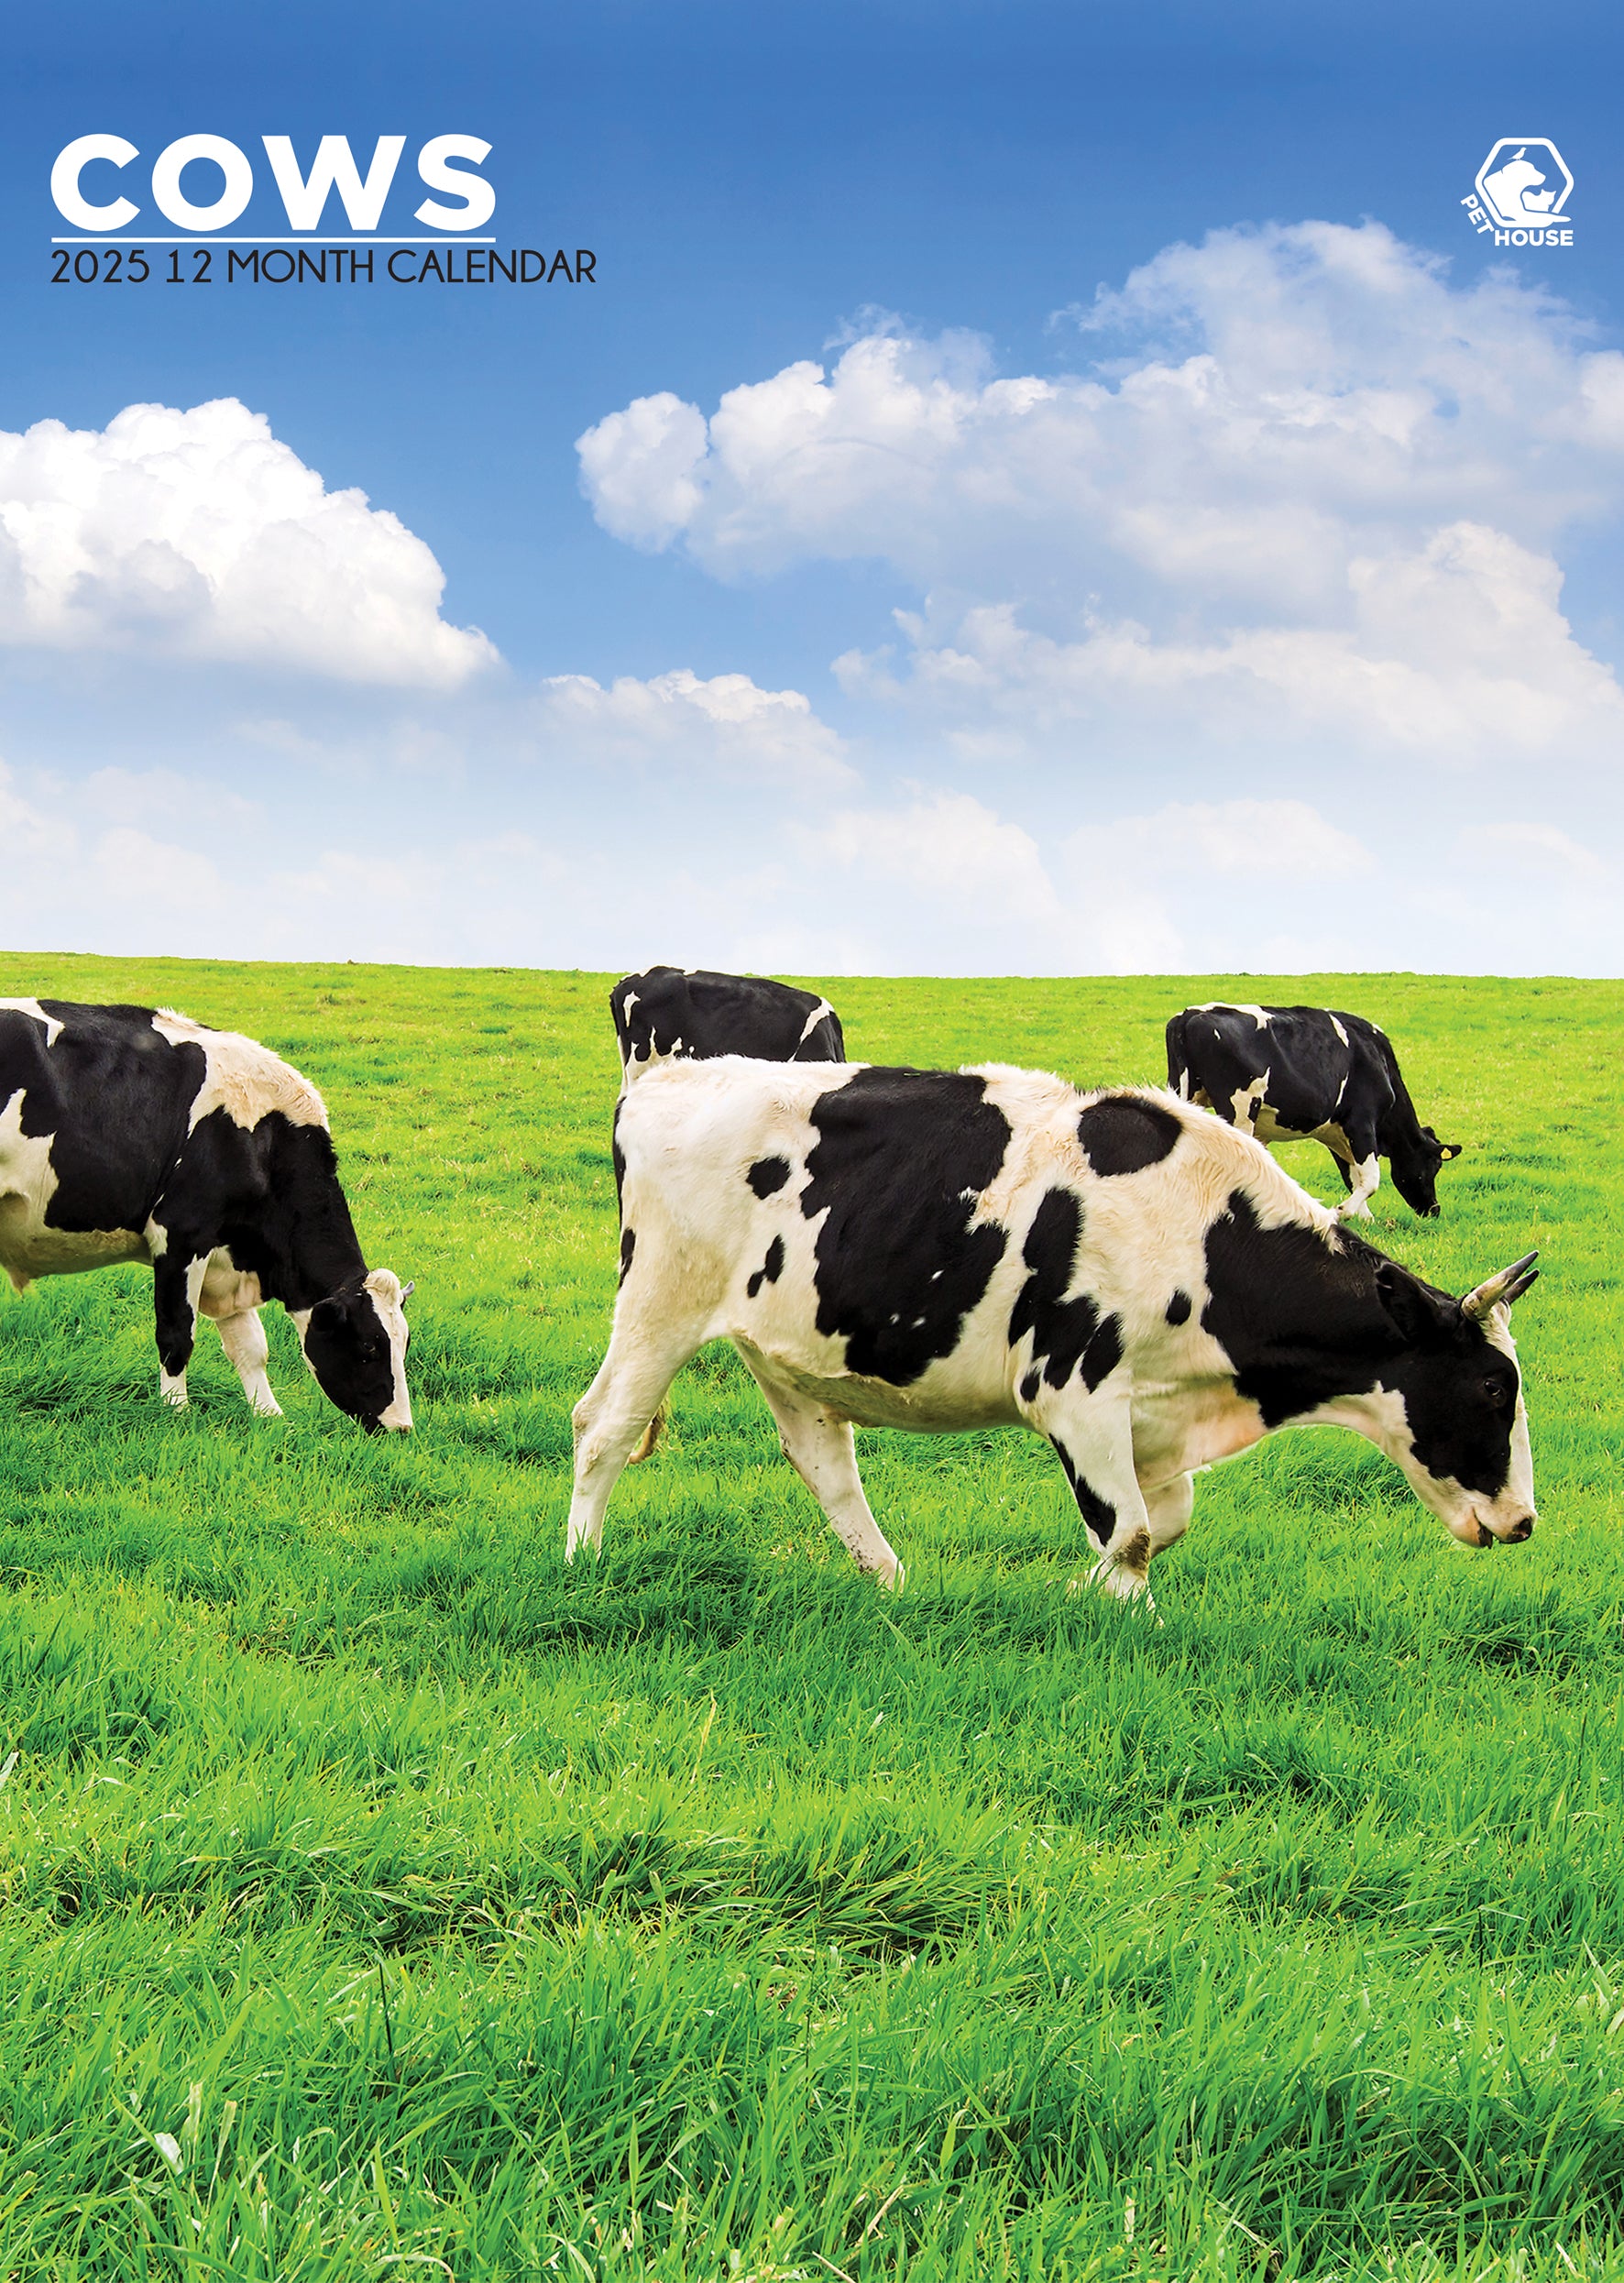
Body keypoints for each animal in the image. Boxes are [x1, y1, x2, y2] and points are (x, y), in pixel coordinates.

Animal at [0, 999, 413, 1430]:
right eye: (368, 1346)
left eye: (405, 1343)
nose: (402, 1428)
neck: (263, 1143)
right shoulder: (181, 1236)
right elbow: (176, 1333)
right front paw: (175, 1411)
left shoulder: (229, 1258)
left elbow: (251, 1347)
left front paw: (269, 1416)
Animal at [566, 1058, 1537, 1602]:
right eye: (1494, 1386)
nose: (1525, 1521)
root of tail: (662, 1080)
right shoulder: (1075, 1388)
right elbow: (1135, 1531)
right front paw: (1122, 1614)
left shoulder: (1152, 1417)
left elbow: (1161, 1522)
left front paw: (1075, 1591)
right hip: (660, 1298)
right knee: (603, 1426)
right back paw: (585, 1562)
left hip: (789, 1346)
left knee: (825, 1466)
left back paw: (892, 1586)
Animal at [1165, 1003, 1461, 1220]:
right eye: (1434, 1166)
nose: (1434, 1210)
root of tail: (1190, 1015)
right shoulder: (1362, 1123)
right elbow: (1370, 1178)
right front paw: (1341, 1212)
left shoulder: (1336, 1133)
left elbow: (1353, 1176)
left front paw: (1363, 1219)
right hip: (1239, 1107)